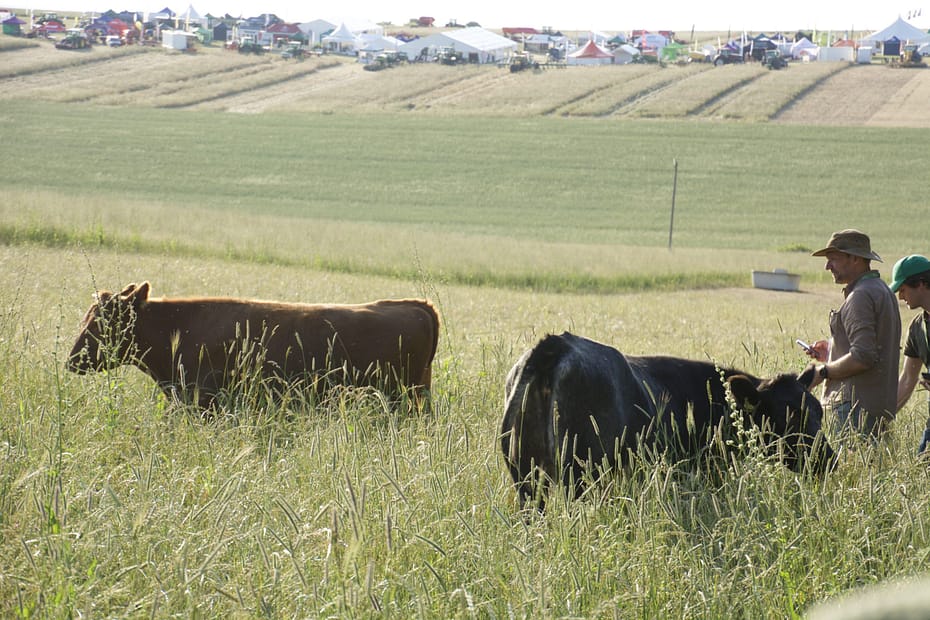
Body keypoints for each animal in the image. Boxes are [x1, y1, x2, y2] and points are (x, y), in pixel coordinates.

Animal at [501, 332, 836, 509]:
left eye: (819, 413)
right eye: (788, 415)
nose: (829, 458)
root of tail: (557, 343)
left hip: (527, 479)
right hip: (580, 477)